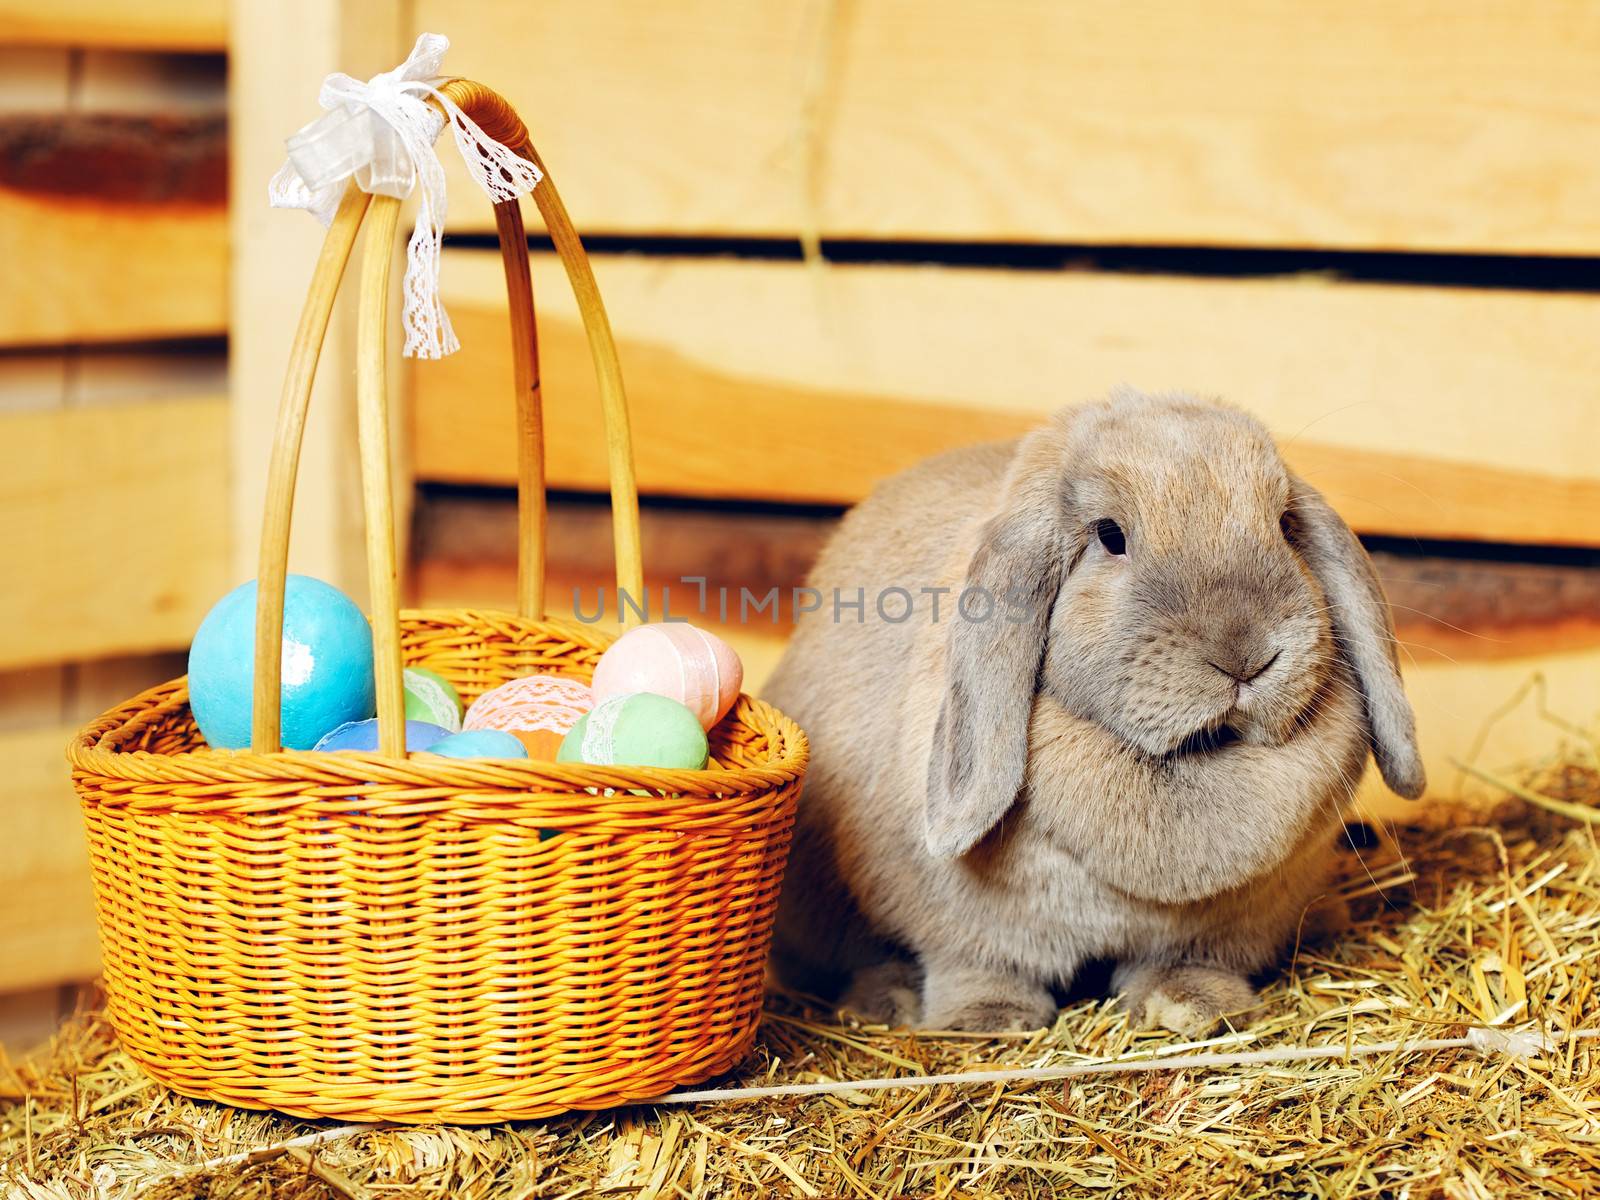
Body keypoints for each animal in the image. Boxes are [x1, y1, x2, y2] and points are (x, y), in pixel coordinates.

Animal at [764, 392, 1427, 1036]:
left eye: (1285, 526)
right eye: (1110, 536)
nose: (1247, 655)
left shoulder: (1223, 930)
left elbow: (1192, 962)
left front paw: (1192, 1008)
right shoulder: (959, 923)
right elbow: (978, 964)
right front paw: (990, 1022)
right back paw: (888, 1002)